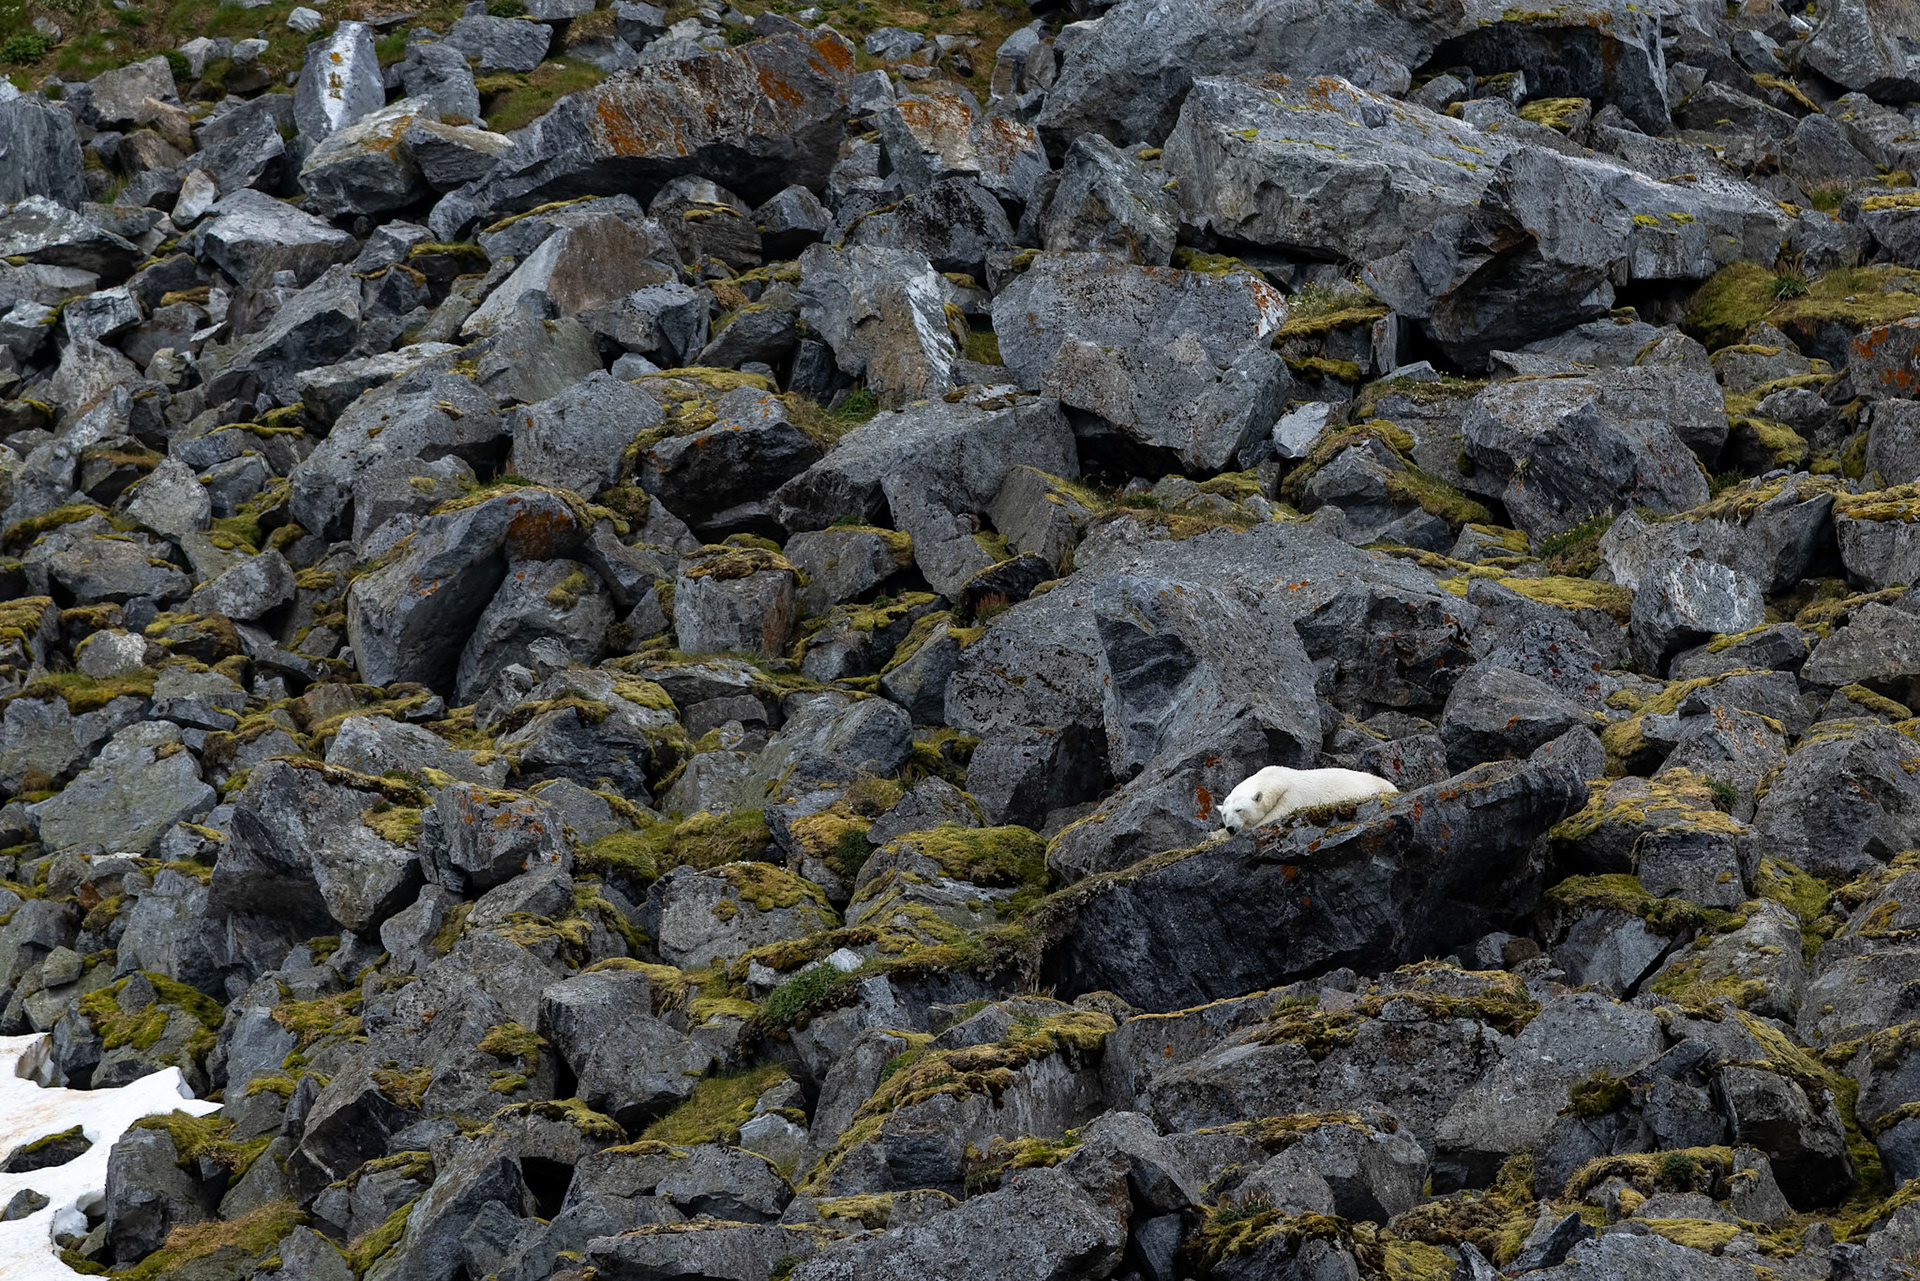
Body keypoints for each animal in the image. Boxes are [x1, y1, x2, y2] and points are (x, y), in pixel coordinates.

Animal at [1219, 765, 1399, 834]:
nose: (1230, 828)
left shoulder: (1292, 797)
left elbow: (1271, 818)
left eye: (1239, 810)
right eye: (1224, 815)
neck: (1276, 780)